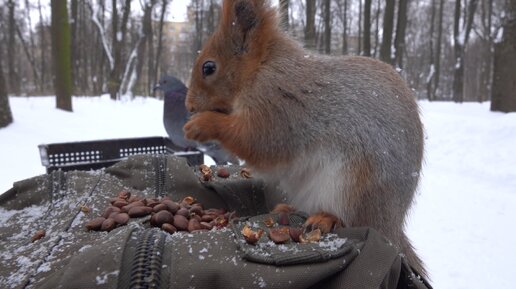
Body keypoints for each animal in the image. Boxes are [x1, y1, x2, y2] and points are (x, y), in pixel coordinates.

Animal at [183, 0, 426, 276]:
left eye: (209, 67)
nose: (189, 106)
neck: (262, 67)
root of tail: (391, 225)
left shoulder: (278, 107)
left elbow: (256, 140)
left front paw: (201, 125)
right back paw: (288, 209)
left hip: (352, 188)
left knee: (353, 219)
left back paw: (326, 218)